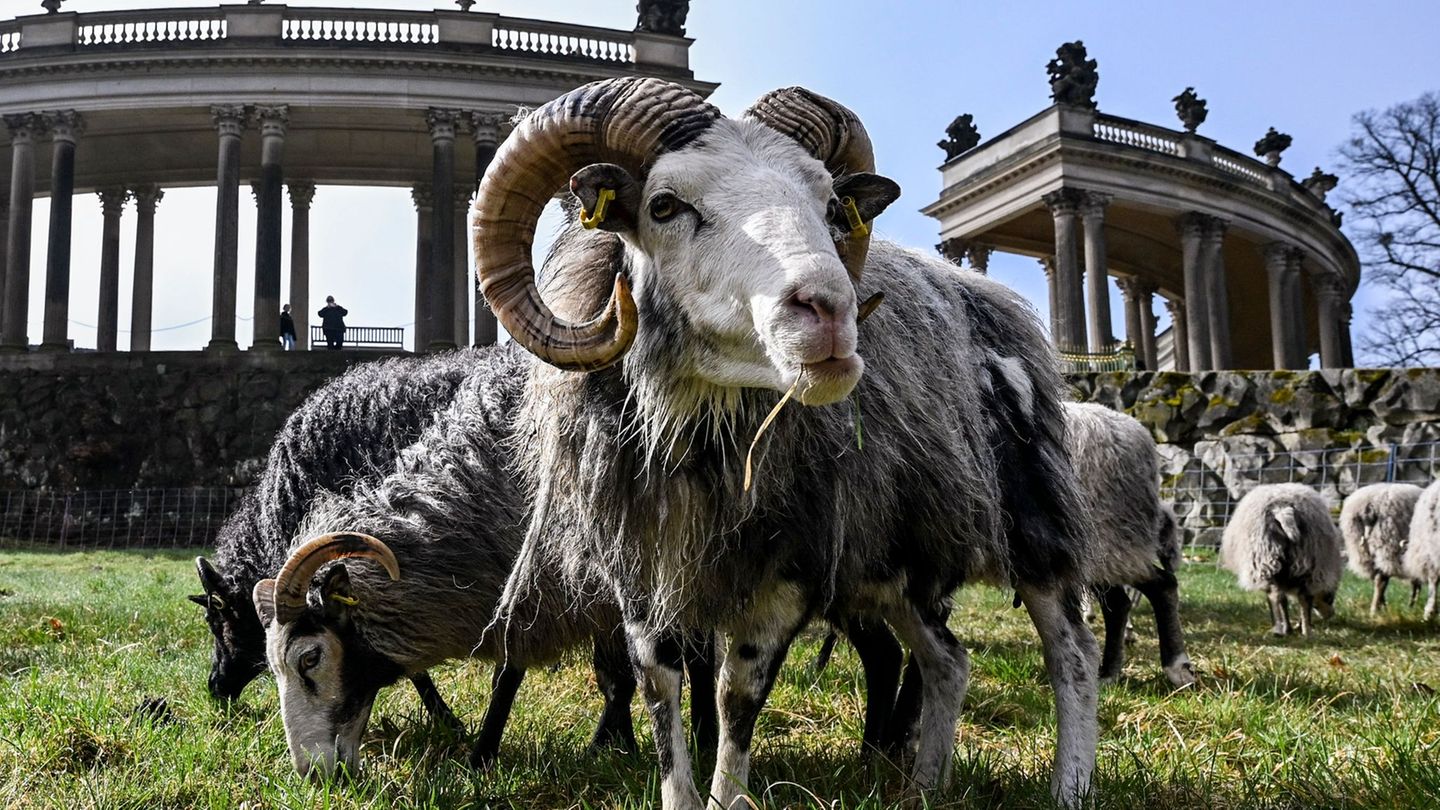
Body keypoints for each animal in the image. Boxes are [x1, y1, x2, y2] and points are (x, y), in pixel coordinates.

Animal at [251, 346, 716, 776]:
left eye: (309, 659)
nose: (314, 775)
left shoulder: (547, 585)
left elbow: (515, 675)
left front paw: (482, 756)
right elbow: (606, 674)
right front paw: (612, 745)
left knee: (701, 651)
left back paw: (705, 740)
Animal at [473, 77, 1097, 809]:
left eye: (830, 207)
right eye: (664, 205)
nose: (831, 312)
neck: (704, 441)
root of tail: (993, 298)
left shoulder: (791, 561)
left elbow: (735, 696)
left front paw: (727, 796)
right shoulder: (640, 563)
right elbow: (658, 689)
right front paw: (680, 793)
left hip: (1031, 515)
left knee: (1072, 651)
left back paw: (1071, 788)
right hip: (900, 549)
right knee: (947, 658)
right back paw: (925, 784)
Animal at [1220, 483, 1343, 636]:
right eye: (1330, 597)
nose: (1330, 615)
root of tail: (1282, 509)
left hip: (1265, 560)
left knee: (1276, 595)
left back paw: (1280, 629)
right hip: (1311, 562)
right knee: (1304, 598)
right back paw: (1305, 631)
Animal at [1339, 482, 1425, 614]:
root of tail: (1369, 509)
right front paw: (1412, 605)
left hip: (1360, 546)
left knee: (1376, 576)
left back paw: (1383, 606)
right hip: (1387, 543)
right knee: (1381, 579)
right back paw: (1376, 609)